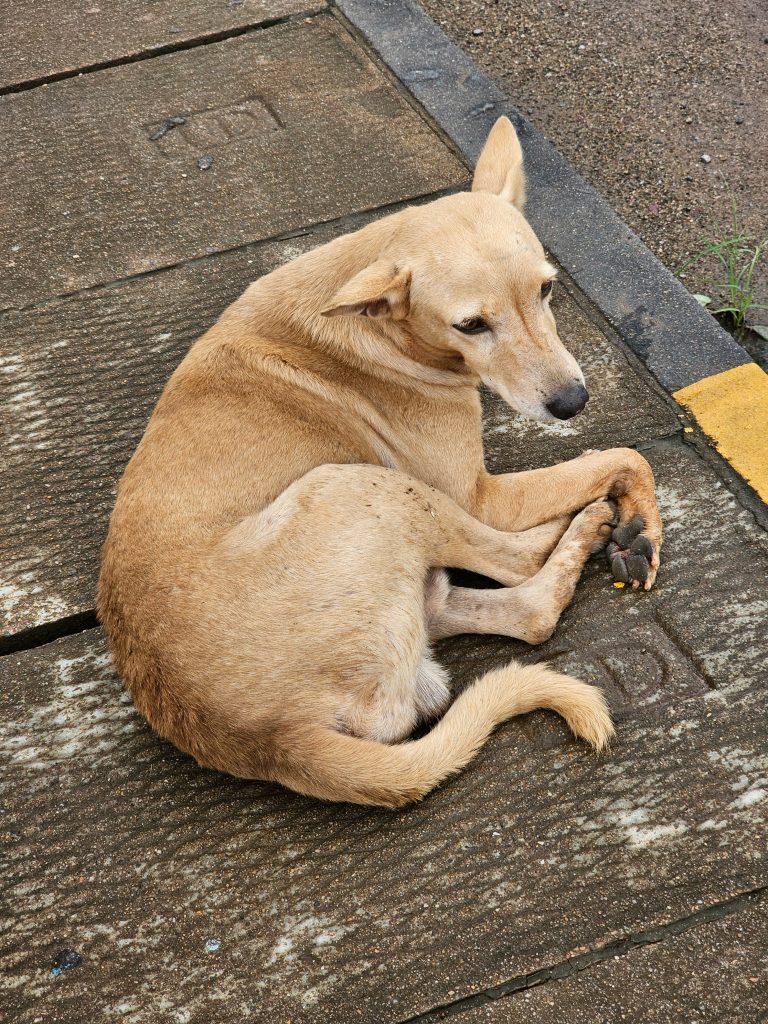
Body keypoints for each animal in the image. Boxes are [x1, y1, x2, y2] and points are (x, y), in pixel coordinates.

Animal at [97, 117, 663, 806]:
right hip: (365, 487)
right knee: (522, 575)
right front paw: (642, 523)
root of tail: (275, 742)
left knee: (501, 611)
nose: (573, 402)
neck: (378, 323)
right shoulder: (479, 493)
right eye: (470, 324)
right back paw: (588, 525)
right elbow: (627, 455)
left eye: (548, 288)